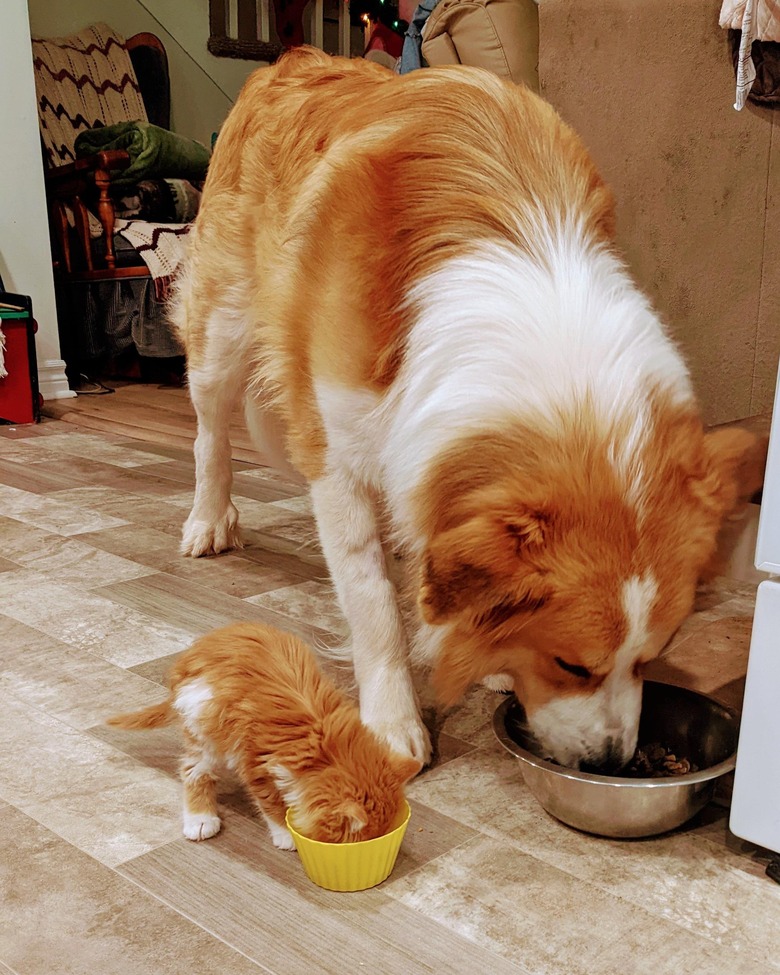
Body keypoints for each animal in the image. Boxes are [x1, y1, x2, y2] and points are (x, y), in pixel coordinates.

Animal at [106, 624, 420, 848]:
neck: (324, 746)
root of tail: (191, 658)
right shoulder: (255, 760)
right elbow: (271, 803)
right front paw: (286, 834)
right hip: (205, 727)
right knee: (192, 770)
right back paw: (200, 819)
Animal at [171, 47, 760, 772]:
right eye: (571, 664)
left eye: (651, 660)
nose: (610, 764)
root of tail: (294, 57)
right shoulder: (337, 460)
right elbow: (371, 602)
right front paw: (393, 721)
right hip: (222, 332)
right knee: (209, 432)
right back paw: (207, 520)